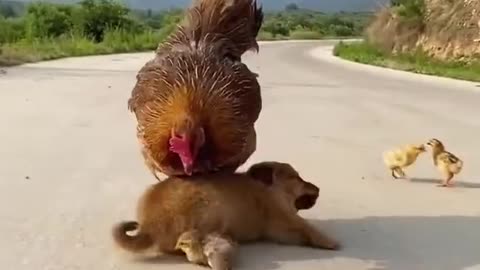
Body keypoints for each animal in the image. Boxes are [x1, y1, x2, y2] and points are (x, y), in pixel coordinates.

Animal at [112, 161, 340, 256]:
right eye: (297, 178)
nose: (318, 188)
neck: (270, 189)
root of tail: (149, 227)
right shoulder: (284, 219)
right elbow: (308, 227)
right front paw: (329, 242)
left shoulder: (278, 229)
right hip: (212, 208)